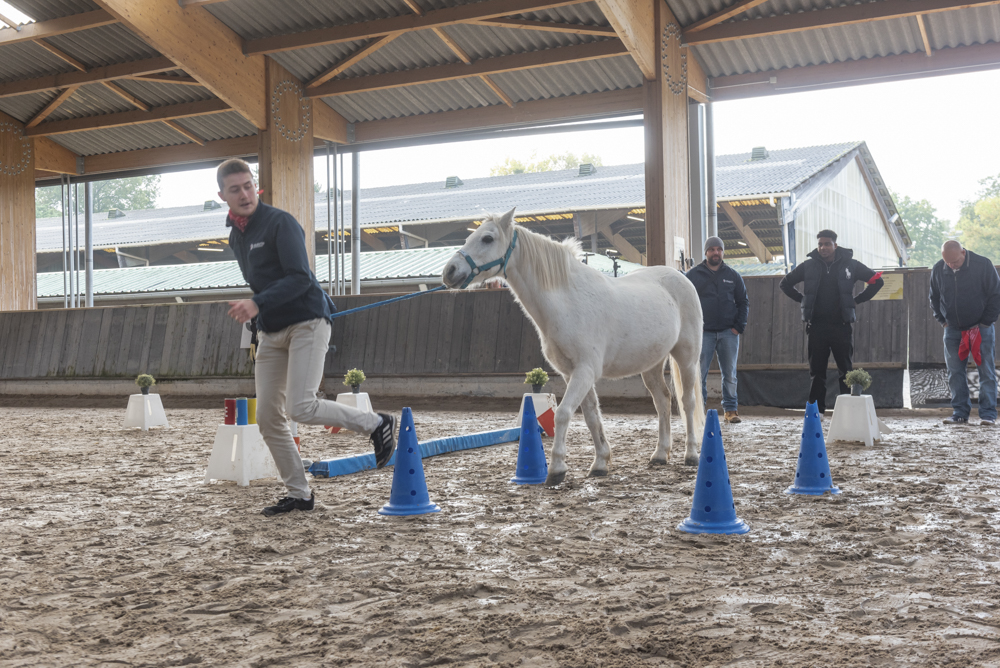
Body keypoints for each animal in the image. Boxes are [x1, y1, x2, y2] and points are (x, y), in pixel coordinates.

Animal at [442, 209, 708, 486]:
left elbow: (563, 413)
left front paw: (557, 469)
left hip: (687, 358)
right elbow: (591, 416)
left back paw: (691, 454)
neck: (566, 301)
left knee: (687, 402)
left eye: (487, 238)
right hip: (652, 364)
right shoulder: (572, 373)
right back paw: (660, 455)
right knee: (663, 401)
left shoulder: (585, 371)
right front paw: (600, 463)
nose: (450, 271)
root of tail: (681, 277)